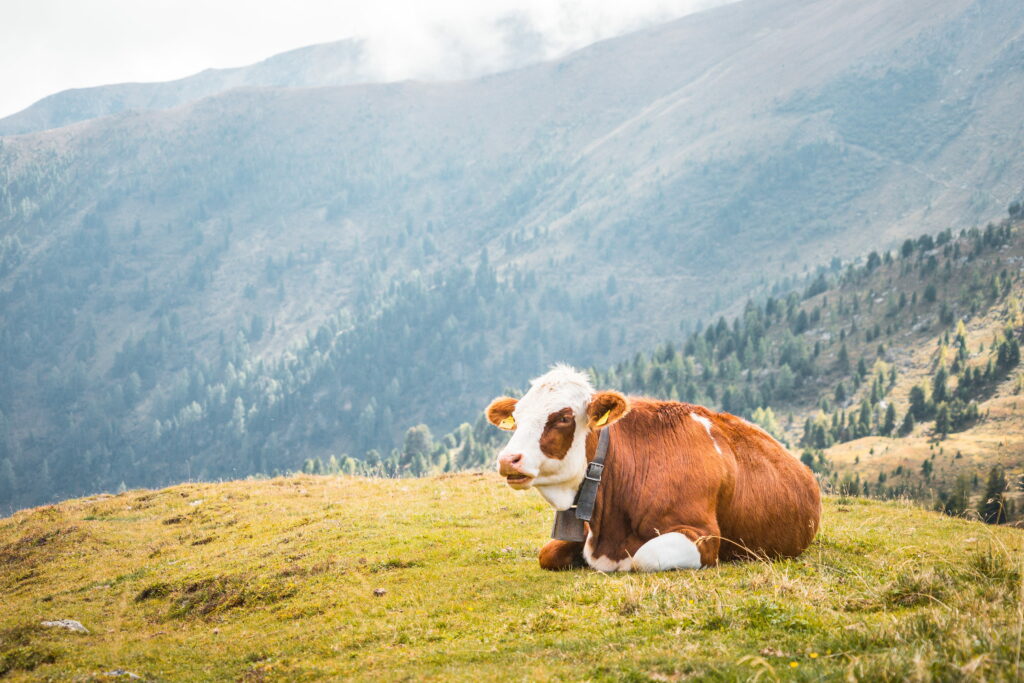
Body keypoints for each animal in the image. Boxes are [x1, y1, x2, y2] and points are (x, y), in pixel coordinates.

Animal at [485, 364, 821, 571]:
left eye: (564, 418)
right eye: (517, 416)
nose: (508, 459)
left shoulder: (705, 536)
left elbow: (644, 556)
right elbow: (548, 553)